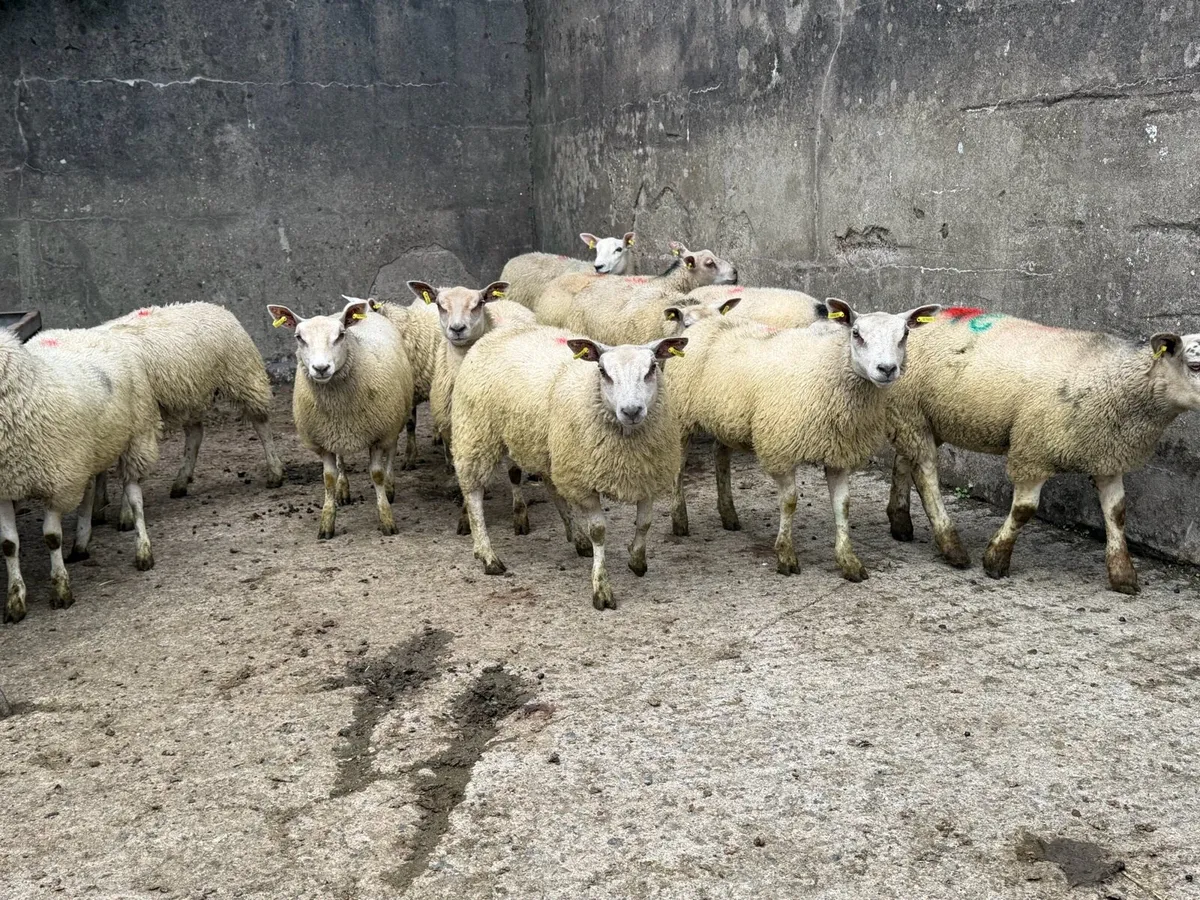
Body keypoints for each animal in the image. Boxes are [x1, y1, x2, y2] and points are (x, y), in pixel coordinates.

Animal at [1, 329, 160, 623]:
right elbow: (8, 544)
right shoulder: (6, 486)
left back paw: (143, 551)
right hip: (87, 455)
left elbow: (52, 537)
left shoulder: (58, 482)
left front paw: (61, 590)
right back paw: (81, 543)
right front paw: (15, 601)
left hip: (136, 437)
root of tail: (89, 330)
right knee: (87, 495)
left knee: (135, 498)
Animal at [266, 299, 414, 539]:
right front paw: (327, 523)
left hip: (394, 422)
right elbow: (328, 479)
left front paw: (386, 519)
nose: (321, 368)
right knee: (341, 459)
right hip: (337, 434)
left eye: (340, 335)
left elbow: (377, 475)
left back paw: (390, 487)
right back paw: (343, 490)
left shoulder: (379, 435)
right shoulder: (323, 440)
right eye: (299, 337)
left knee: (391, 452)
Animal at [451, 324, 688, 610]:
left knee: (553, 488)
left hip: (548, 447)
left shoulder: (647, 475)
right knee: (473, 493)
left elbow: (645, 523)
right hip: (476, 434)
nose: (631, 411)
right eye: (603, 371)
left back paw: (578, 539)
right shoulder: (585, 482)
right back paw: (487, 555)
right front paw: (601, 588)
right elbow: (599, 531)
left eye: (652, 368)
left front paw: (637, 561)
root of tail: (501, 330)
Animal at [666, 298, 940, 580]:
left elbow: (843, 505)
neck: (830, 369)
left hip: (726, 418)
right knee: (678, 467)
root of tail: (704, 324)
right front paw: (786, 556)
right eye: (856, 334)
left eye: (905, 334)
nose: (887, 369)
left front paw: (849, 561)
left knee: (720, 455)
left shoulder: (838, 451)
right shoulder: (780, 448)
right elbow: (789, 502)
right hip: (681, 416)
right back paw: (680, 520)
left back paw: (729, 515)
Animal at [885, 307, 1200, 594]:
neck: (1113, 378)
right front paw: (996, 559)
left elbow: (1117, 513)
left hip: (921, 417)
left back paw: (900, 523)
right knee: (925, 473)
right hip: (910, 409)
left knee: (904, 461)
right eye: (1195, 366)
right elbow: (1024, 510)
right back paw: (951, 545)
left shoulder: (1107, 455)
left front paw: (1123, 575)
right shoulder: (1032, 451)